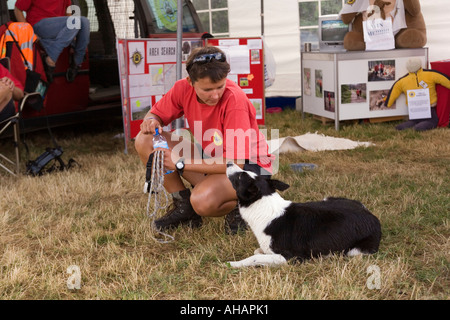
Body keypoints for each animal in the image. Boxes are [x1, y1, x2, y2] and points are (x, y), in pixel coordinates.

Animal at [227, 161, 382, 268]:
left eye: (240, 176)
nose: (228, 162)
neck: (263, 204)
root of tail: (371, 215)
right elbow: (258, 252)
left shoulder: (290, 257)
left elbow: (254, 258)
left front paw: (233, 264)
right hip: (328, 199)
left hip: (354, 251)